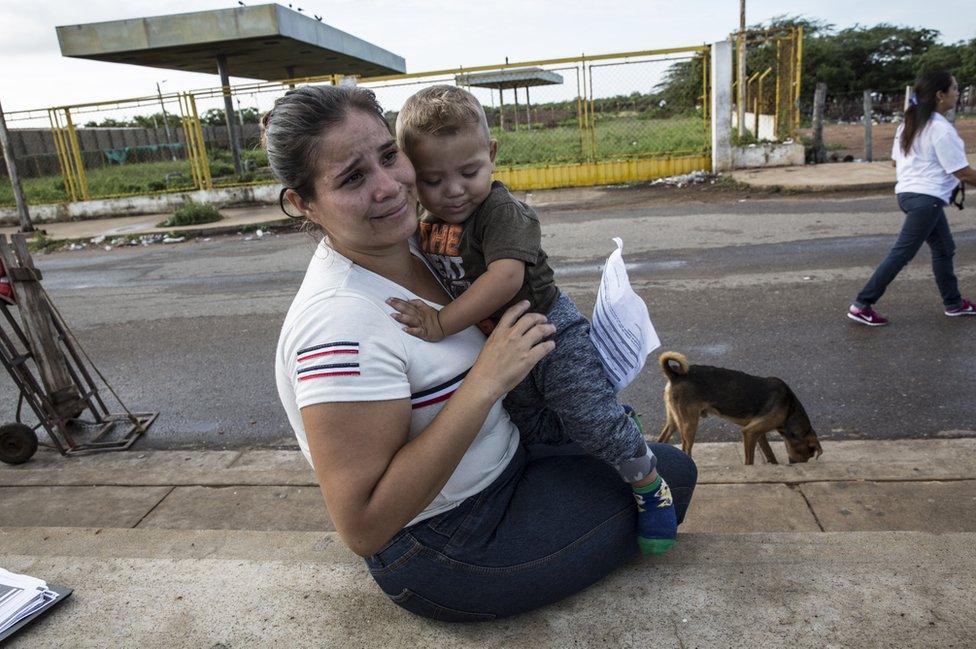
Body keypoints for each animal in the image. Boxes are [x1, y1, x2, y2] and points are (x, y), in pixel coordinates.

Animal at [656, 352, 824, 464]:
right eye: (808, 454)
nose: (796, 465)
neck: (790, 409)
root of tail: (675, 375)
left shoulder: (759, 433)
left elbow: (770, 454)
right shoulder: (750, 432)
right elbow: (749, 461)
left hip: (674, 421)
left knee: (661, 440)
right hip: (689, 424)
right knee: (685, 449)